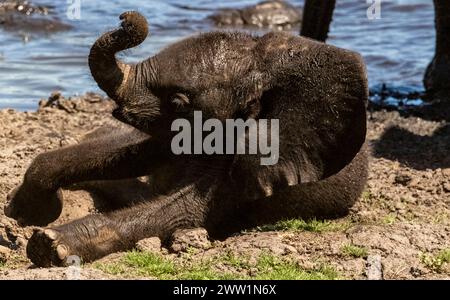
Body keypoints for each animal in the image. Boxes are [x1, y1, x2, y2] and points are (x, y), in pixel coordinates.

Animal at [4, 10, 370, 266]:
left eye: (179, 101)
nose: (125, 18)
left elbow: (184, 211)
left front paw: (49, 244)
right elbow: (137, 153)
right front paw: (24, 210)